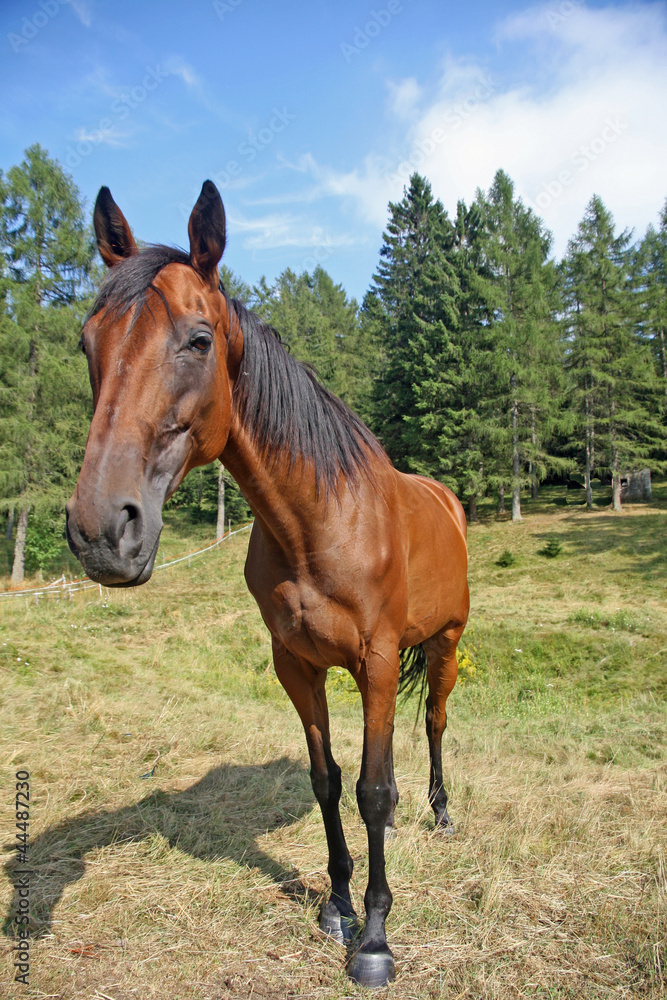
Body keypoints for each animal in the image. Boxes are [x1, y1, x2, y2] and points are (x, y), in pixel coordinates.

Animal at [66, 178, 470, 984]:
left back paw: (442, 813)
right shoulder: (297, 665)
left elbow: (373, 790)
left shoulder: (379, 662)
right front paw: (336, 904)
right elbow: (327, 780)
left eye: (199, 339)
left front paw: (373, 938)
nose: (101, 531)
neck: (318, 522)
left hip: (443, 643)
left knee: (437, 724)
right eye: (89, 342)